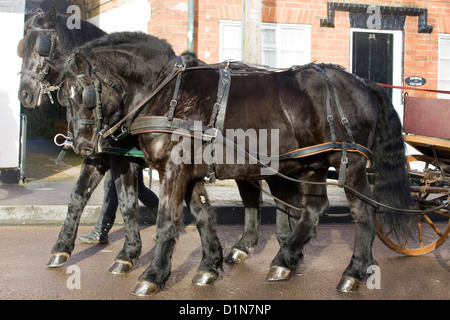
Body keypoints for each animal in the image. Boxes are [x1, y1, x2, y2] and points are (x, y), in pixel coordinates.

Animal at [59, 31, 414, 296]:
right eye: (64, 96)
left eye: (86, 94)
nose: (83, 146)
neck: (166, 93)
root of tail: (362, 82)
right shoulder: (188, 174)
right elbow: (202, 216)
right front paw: (209, 266)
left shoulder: (174, 169)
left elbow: (166, 221)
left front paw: (154, 274)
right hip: (313, 164)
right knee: (314, 208)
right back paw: (285, 259)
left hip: (348, 164)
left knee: (364, 212)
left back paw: (353, 270)